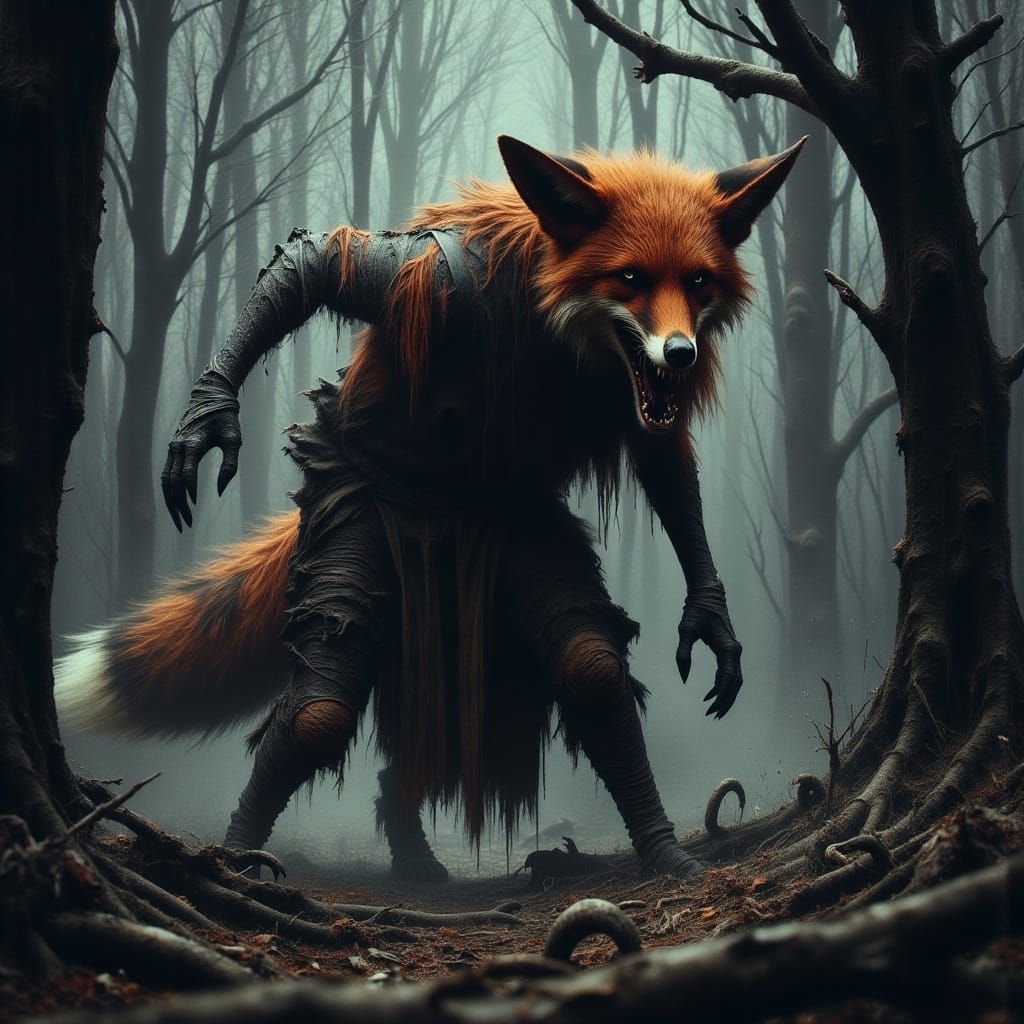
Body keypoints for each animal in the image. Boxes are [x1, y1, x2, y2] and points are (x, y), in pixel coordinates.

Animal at [56, 135, 805, 880]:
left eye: (699, 282)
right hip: (348, 547)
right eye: (629, 279)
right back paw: (247, 860)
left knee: (580, 674)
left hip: (515, 554)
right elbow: (318, 258)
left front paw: (708, 623)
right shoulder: (440, 277)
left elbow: (663, 492)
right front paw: (209, 415)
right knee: (316, 716)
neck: (550, 334)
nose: (680, 355)